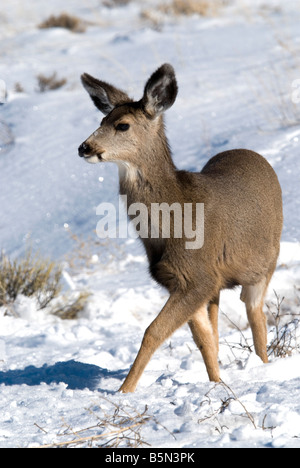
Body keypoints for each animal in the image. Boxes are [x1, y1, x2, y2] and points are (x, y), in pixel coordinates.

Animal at [78, 64, 282, 394]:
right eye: (101, 121)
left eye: (122, 125)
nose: (84, 147)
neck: (171, 223)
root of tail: (252, 153)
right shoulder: (184, 280)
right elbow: (204, 340)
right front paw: (216, 384)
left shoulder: (197, 276)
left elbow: (153, 332)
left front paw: (124, 391)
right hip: (218, 287)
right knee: (218, 324)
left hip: (265, 264)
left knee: (256, 316)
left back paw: (264, 367)